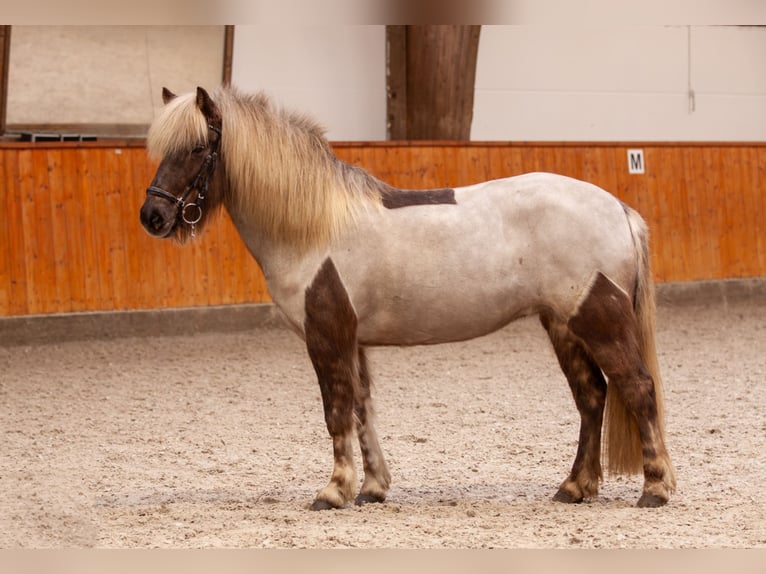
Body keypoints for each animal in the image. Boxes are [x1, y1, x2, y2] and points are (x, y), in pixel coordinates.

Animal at [139, 85, 676, 510]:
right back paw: (575, 487)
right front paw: (372, 487)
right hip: (564, 325)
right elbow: (361, 408)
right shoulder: (352, 340)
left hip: (600, 321)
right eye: (162, 149)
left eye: (194, 147)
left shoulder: (327, 335)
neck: (315, 227)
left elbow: (336, 410)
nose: (152, 217)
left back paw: (654, 489)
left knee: (637, 388)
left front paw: (333, 491)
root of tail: (619, 208)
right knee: (592, 396)